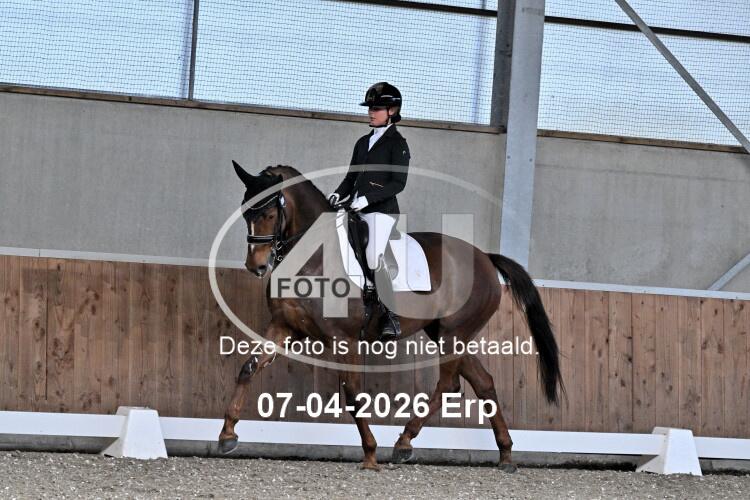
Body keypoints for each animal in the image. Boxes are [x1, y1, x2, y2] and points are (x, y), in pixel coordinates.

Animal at [218, 162, 564, 472]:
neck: (314, 256)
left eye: (268, 214)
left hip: (454, 333)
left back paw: (404, 443)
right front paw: (227, 435)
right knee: (483, 383)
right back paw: (505, 455)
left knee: (448, 383)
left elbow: (353, 394)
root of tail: (486, 258)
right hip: (446, 334)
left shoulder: (344, 340)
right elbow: (248, 368)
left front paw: (370, 454)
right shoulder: (284, 326)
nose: (256, 266)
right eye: (245, 213)